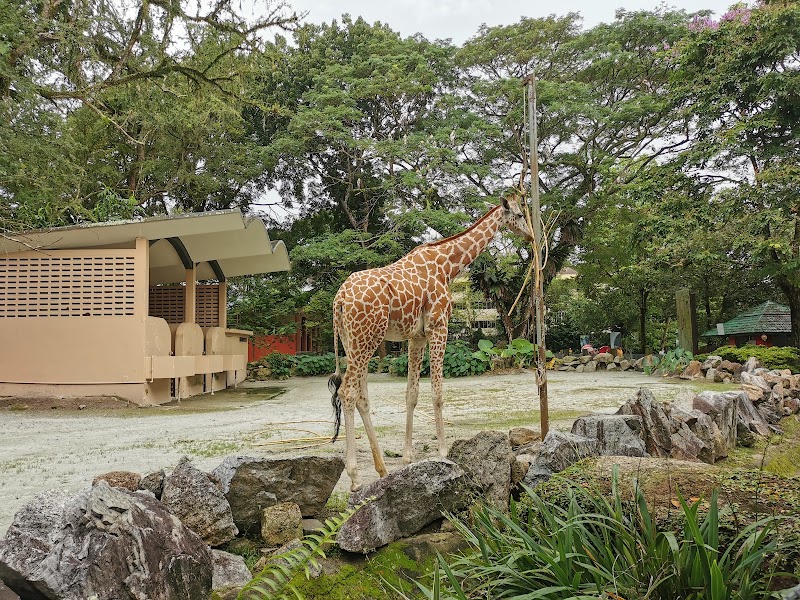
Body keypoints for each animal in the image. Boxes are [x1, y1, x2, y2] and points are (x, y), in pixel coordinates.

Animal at [328, 195, 536, 490]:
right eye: (518, 214)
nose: (530, 236)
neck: (447, 266)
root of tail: (340, 299)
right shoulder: (440, 327)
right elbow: (437, 393)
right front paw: (444, 452)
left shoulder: (416, 337)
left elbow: (412, 394)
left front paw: (407, 457)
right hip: (366, 338)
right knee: (347, 392)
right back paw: (356, 477)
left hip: (353, 341)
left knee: (360, 396)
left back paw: (382, 469)